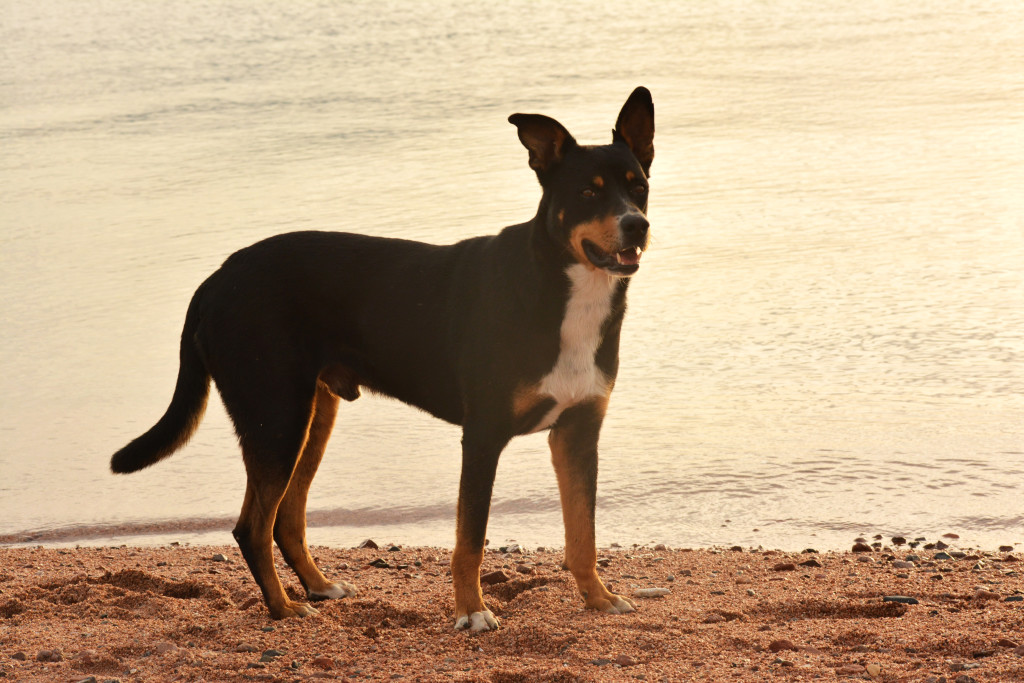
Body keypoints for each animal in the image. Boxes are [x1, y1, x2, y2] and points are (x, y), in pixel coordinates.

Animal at [110, 88, 655, 634]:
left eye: (640, 187)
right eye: (587, 193)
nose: (637, 224)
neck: (564, 290)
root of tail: (217, 278)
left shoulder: (578, 433)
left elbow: (583, 535)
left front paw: (599, 598)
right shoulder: (483, 436)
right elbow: (470, 541)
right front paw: (472, 610)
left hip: (311, 417)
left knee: (287, 518)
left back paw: (319, 586)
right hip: (276, 419)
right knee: (253, 526)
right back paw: (283, 607)